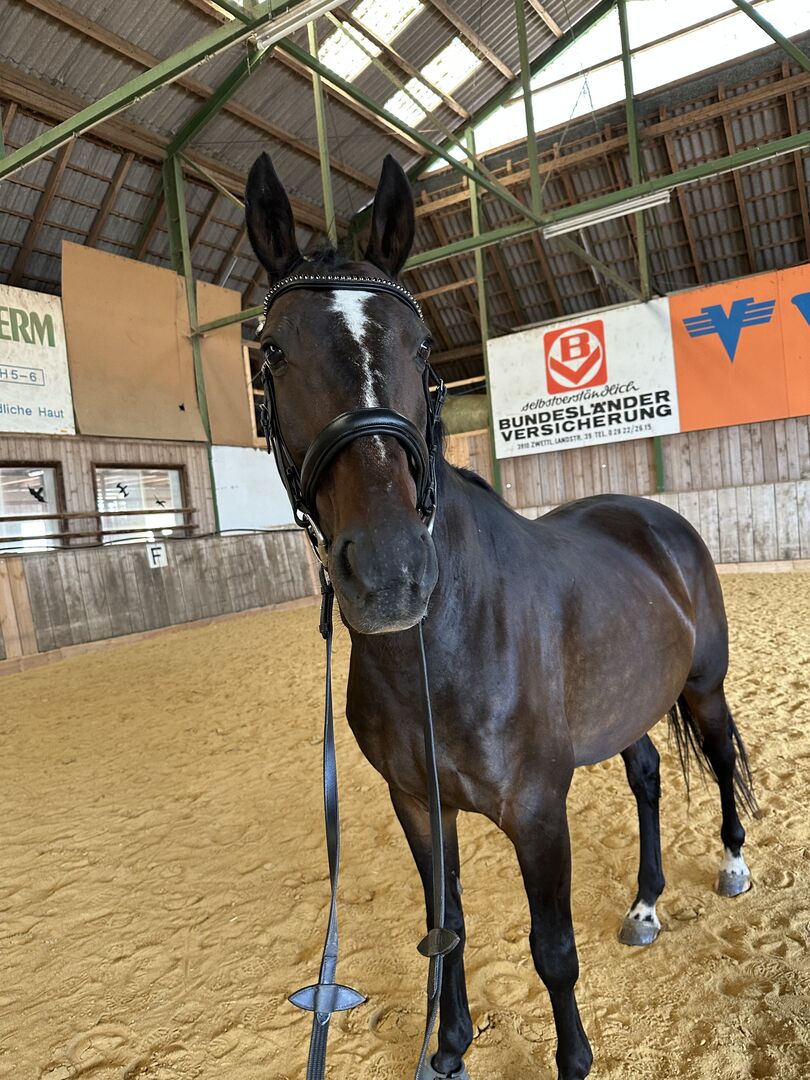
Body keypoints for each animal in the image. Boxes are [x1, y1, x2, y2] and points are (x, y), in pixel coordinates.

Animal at [244, 151, 756, 1080]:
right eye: (272, 350)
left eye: (419, 347)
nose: (390, 574)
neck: (442, 645)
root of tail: (652, 517)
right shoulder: (419, 805)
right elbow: (446, 926)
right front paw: (447, 1049)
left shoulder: (538, 810)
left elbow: (552, 948)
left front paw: (574, 1060)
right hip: (629, 705)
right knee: (648, 776)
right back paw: (645, 905)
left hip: (701, 688)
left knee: (720, 751)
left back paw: (734, 864)